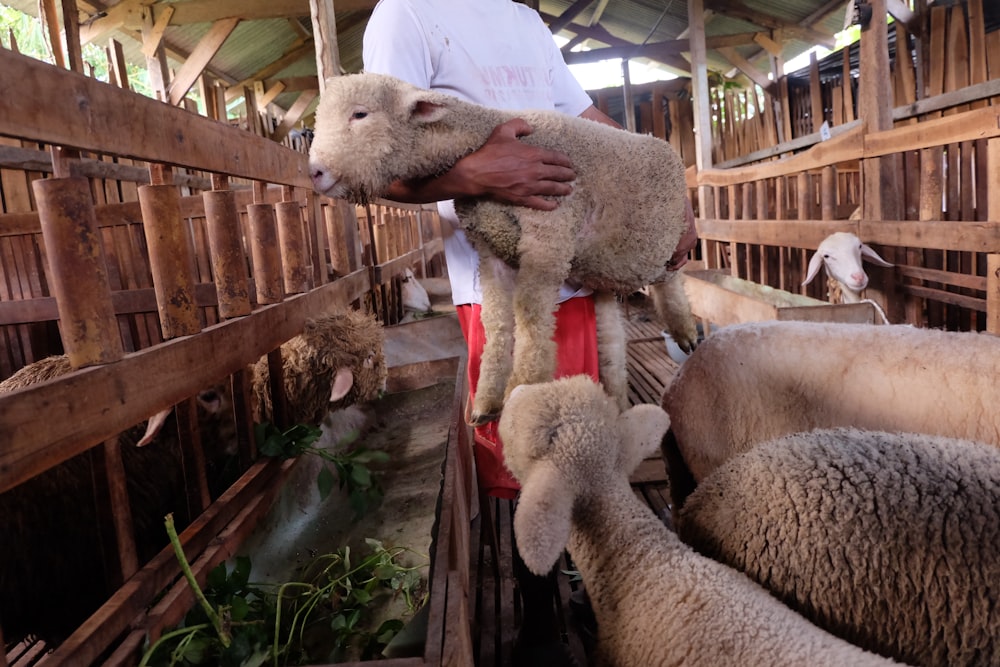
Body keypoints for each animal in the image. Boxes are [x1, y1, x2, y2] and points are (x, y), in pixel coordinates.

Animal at [308, 73, 700, 426]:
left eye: (360, 114)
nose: (314, 172)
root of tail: (656, 140)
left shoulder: (548, 237)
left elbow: (529, 313)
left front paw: (522, 386)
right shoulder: (491, 249)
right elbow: (496, 322)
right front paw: (488, 400)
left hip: (662, 241)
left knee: (672, 280)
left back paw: (683, 329)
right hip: (600, 267)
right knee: (611, 332)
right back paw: (617, 399)